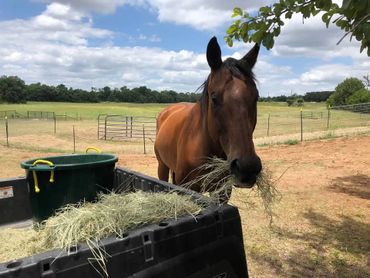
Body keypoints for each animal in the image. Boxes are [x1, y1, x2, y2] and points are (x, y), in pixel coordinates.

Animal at [155, 37, 262, 202]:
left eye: (256, 97)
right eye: (214, 98)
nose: (247, 168)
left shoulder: (222, 192)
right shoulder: (187, 189)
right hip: (162, 166)